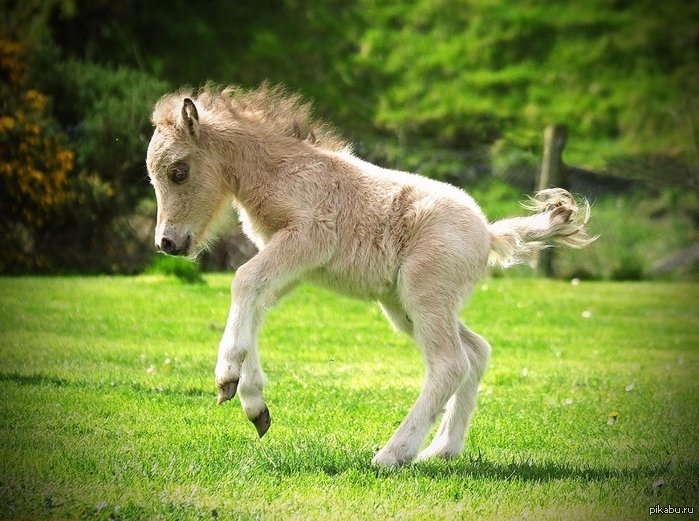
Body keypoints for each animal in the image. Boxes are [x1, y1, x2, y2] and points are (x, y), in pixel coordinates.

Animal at [145, 83, 592, 466]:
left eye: (179, 172)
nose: (166, 243)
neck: (283, 171)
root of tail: (488, 233)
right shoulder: (292, 265)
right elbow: (255, 302)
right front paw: (253, 402)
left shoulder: (309, 239)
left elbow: (243, 281)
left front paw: (226, 376)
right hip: (407, 305)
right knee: (476, 352)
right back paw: (442, 449)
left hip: (424, 294)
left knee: (450, 363)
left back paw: (393, 454)